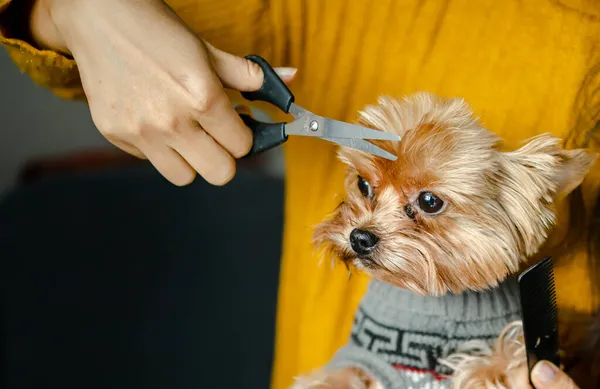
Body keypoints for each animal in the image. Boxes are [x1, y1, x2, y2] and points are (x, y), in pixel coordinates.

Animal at [292, 92, 596, 386]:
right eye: (363, 185)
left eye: (429, 201)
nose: (360, 238)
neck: (439, 299)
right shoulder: (359, 361)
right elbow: (333, 378)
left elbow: (503, 360)